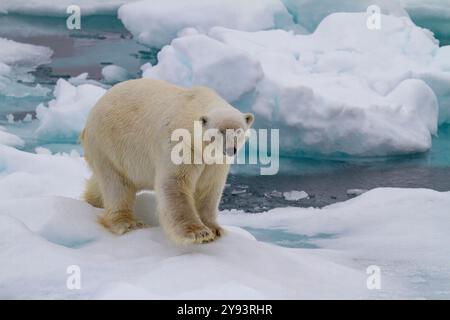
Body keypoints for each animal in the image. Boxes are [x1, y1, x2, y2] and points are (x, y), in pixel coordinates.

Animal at [80, 79, 253, 244]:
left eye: (239, 131)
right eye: (219, 131)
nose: (230, 150)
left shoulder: (215, 162)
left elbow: (209, 187)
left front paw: (214, 229)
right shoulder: (180, 143)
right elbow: (175, 182)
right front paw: (198, 233)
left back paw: (93, 201)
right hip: (108, 145)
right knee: (115, 185)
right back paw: (128, 223)